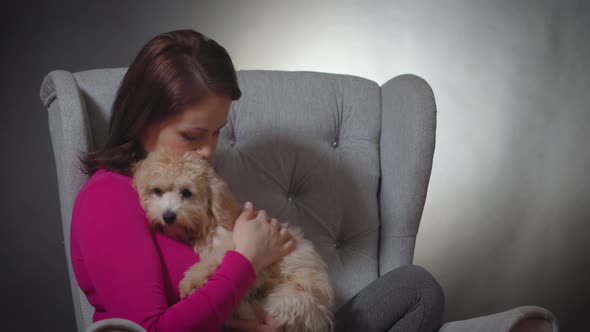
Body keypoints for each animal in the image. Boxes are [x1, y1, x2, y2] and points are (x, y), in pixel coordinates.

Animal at [135, 150, 338, 332]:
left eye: (186, 193)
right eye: (158, 192)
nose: (168, 216)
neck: (206, 224)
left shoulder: (231, 241)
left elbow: (214, 259)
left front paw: (191, 281)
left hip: (289, 297)